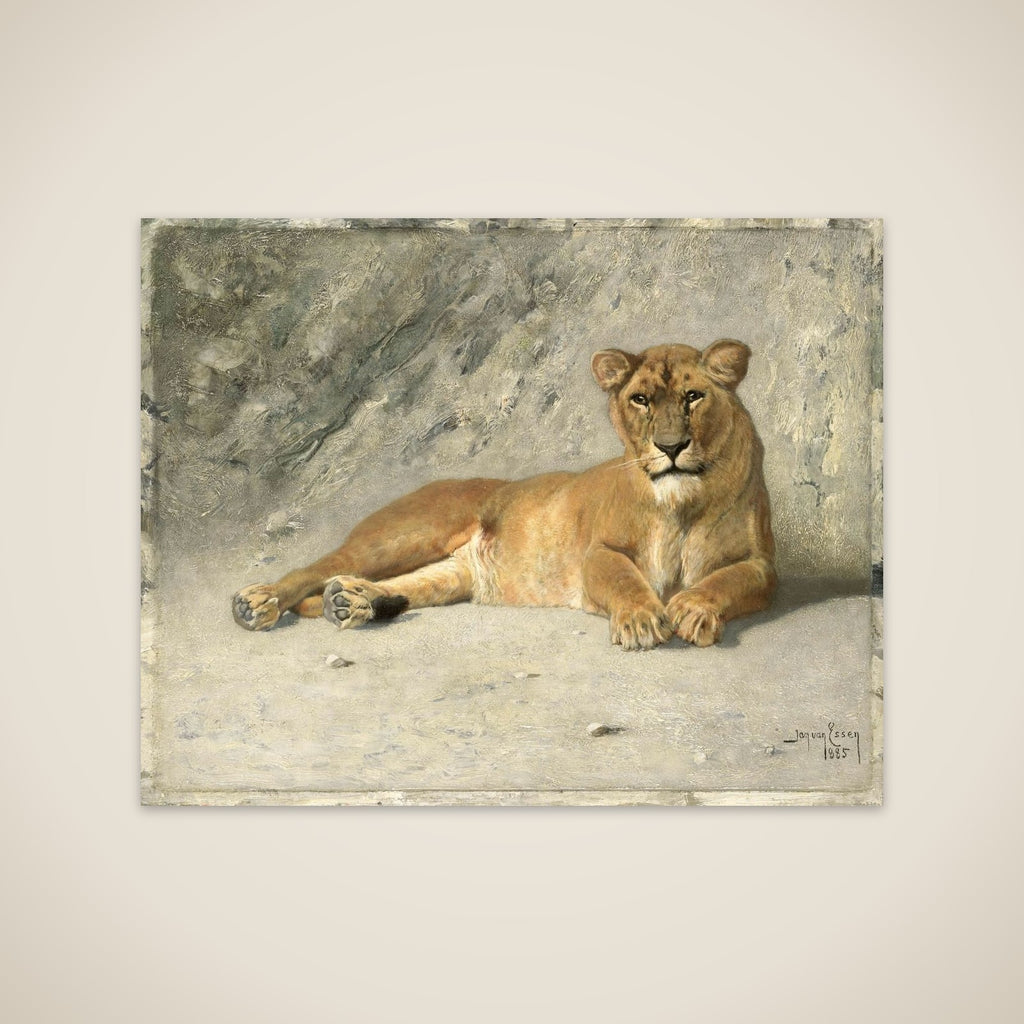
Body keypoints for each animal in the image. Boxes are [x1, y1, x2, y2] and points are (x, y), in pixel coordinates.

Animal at [232, 339, 776, 650]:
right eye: (640, 399)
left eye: (693, 397)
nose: (670, 446)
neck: (682, 502)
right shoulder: (598, 552)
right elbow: (624, 578)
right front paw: (643, 620)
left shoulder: (762, 565)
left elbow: (727, 580)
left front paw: (694, 608)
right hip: (403, 535)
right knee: (320, 567)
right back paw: (258, 603)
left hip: (453, 574)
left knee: (404, 584)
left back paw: (352, 603)